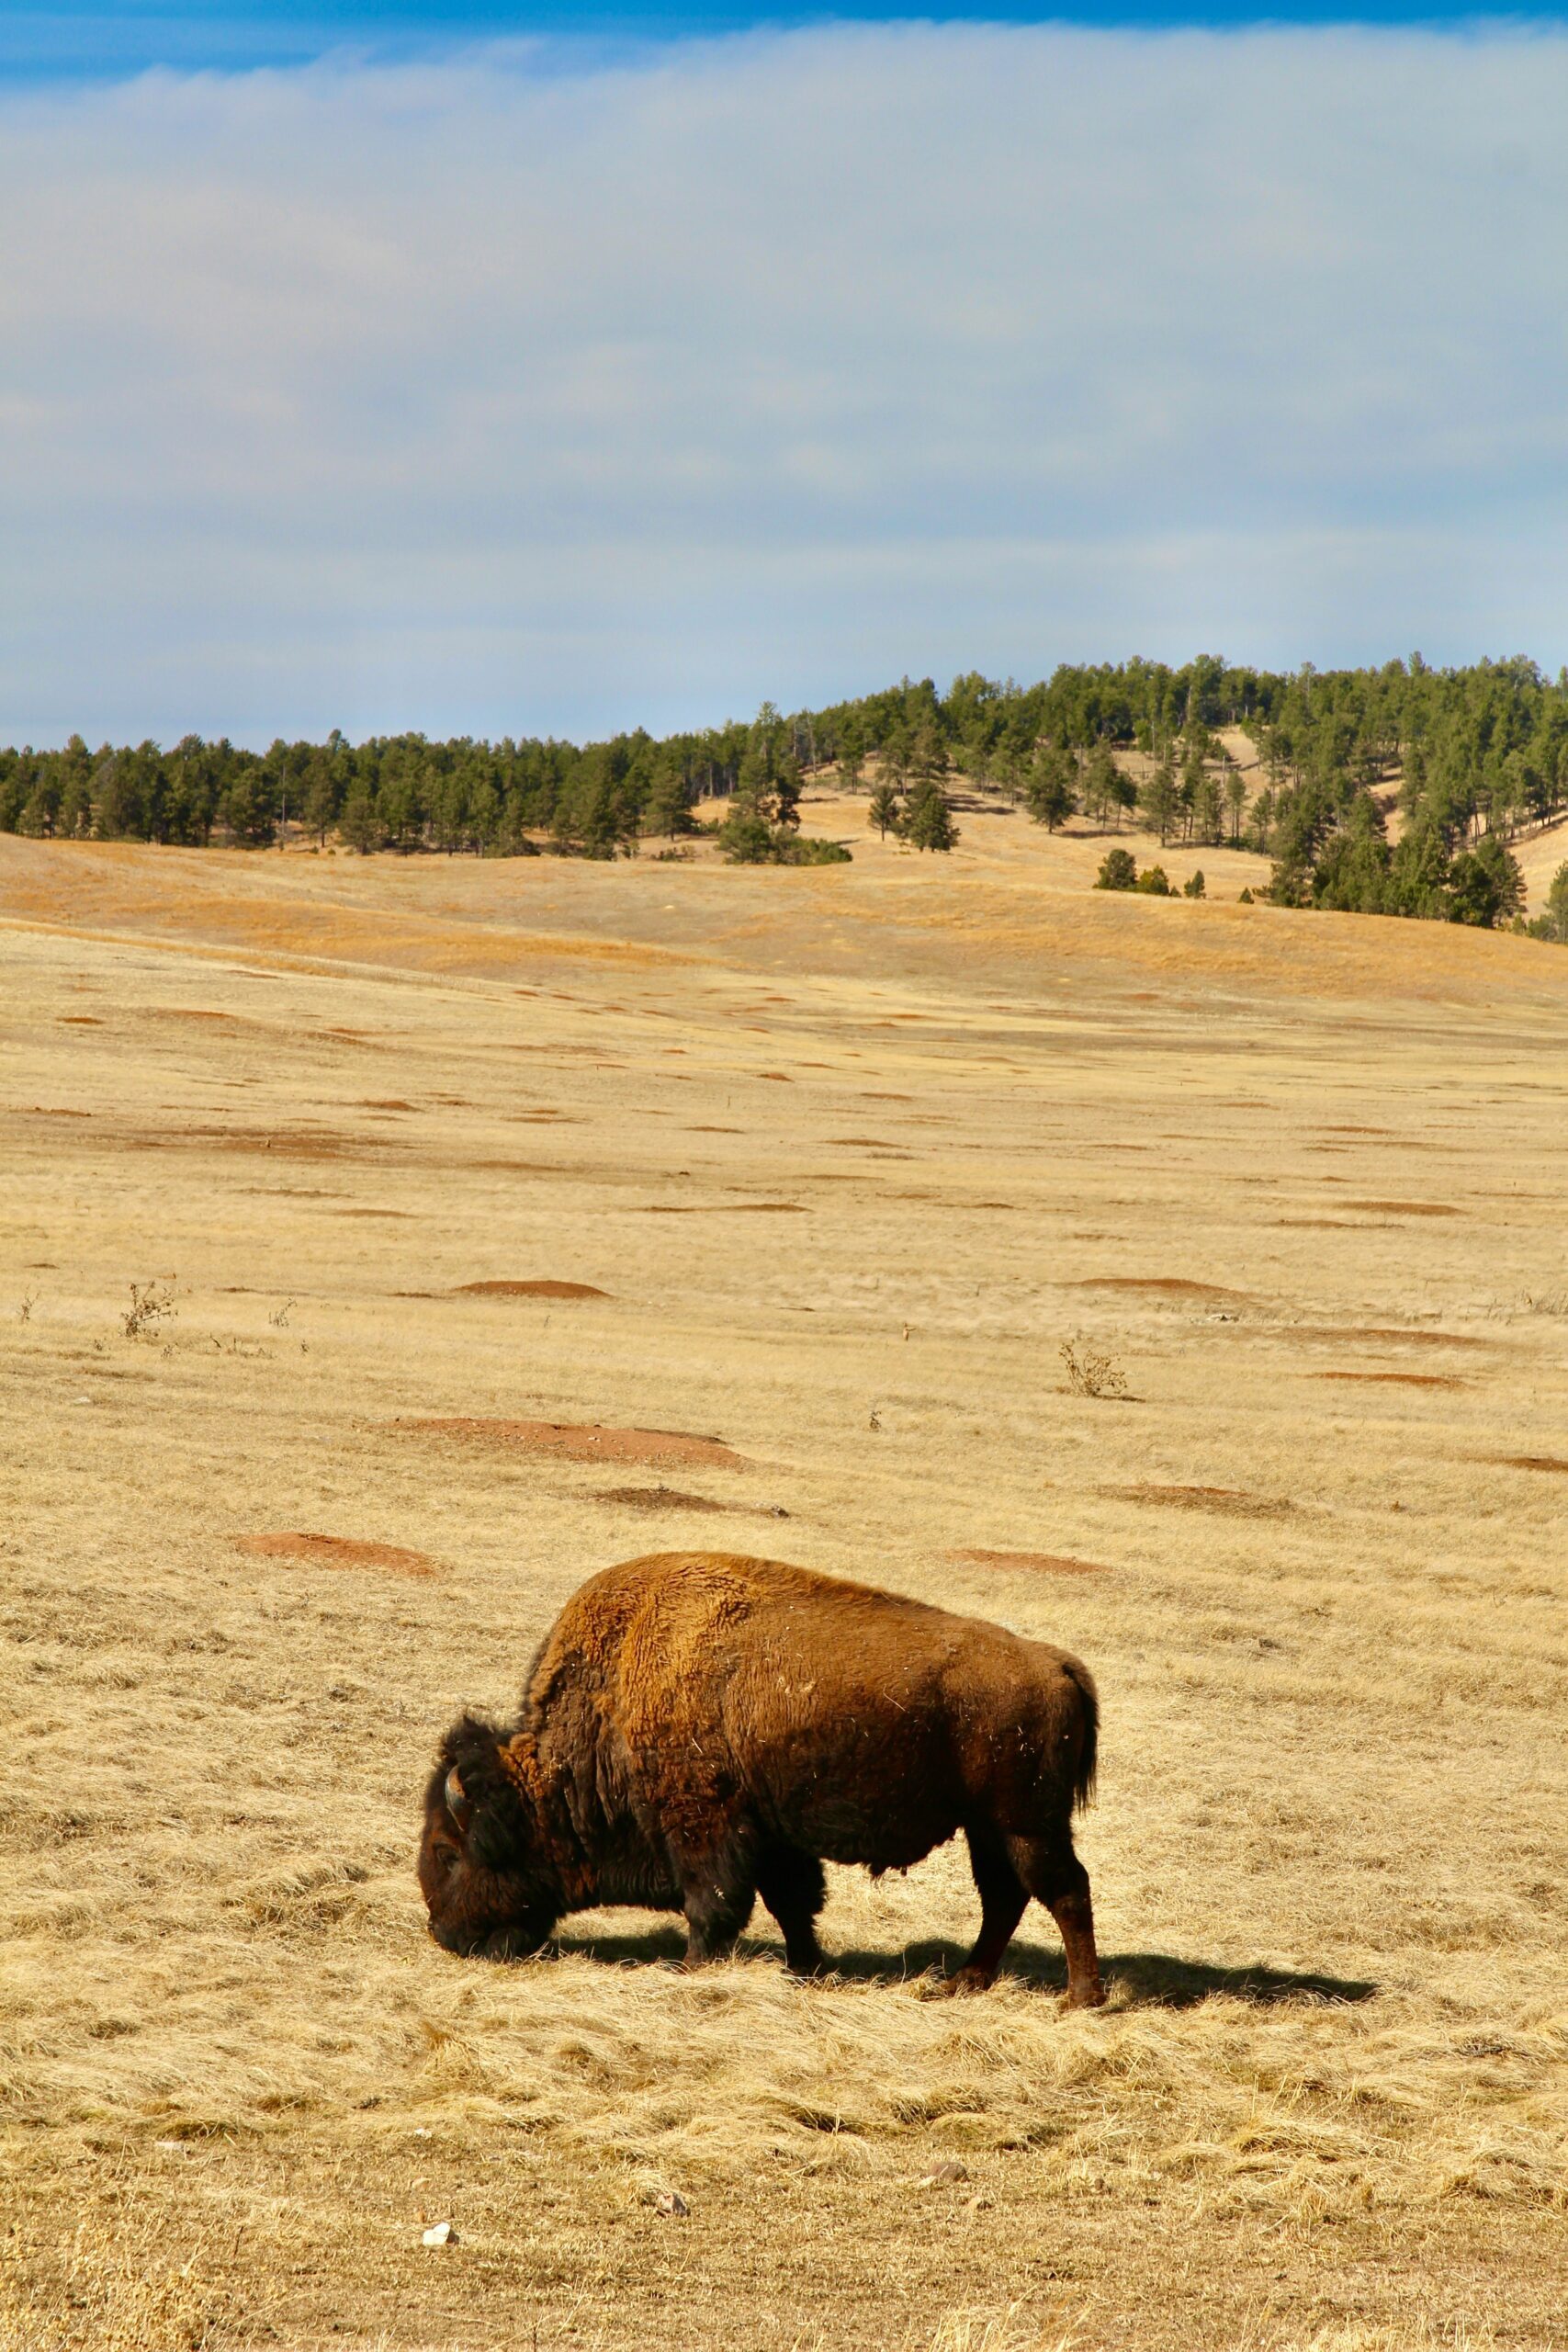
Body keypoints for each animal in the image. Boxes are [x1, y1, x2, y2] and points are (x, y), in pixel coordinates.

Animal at [415, 1561, 1104, 2004]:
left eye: (448, 1853)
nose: (444, 1936)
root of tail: (1056, 1664)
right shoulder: (770, 1837)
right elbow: (792, 1903)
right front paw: (807, 1968)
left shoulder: (703, 1825)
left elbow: (714, 1904)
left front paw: (690, 1970)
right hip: (987, 1827)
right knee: (1005, 1897)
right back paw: (962, 1982)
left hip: (1025, 1823)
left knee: (1063, 1889)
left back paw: (1079, 1997)